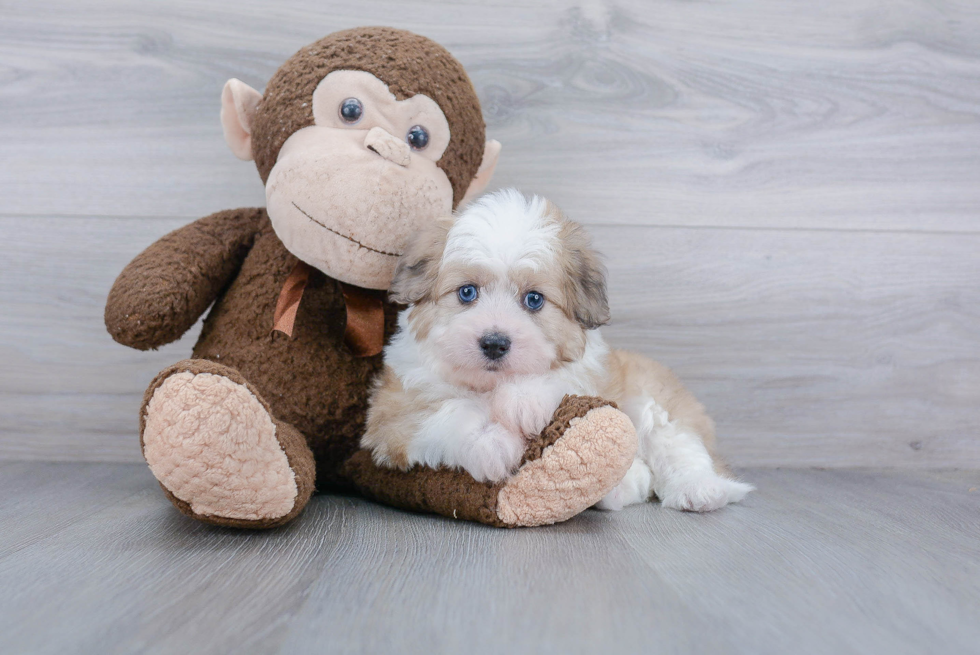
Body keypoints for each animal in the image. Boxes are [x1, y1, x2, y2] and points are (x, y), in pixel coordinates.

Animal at [364, 190, 756, 512]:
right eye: (466, 292)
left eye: (534, 300)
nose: (494, 342)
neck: (490, 387)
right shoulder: (391, 414)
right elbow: (447, 411)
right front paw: (490, 443)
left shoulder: (590, 374)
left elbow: (561, 378)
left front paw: (524, 399)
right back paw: (620, 487)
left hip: (655, 403)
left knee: (678, 445)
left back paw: (699, 490)